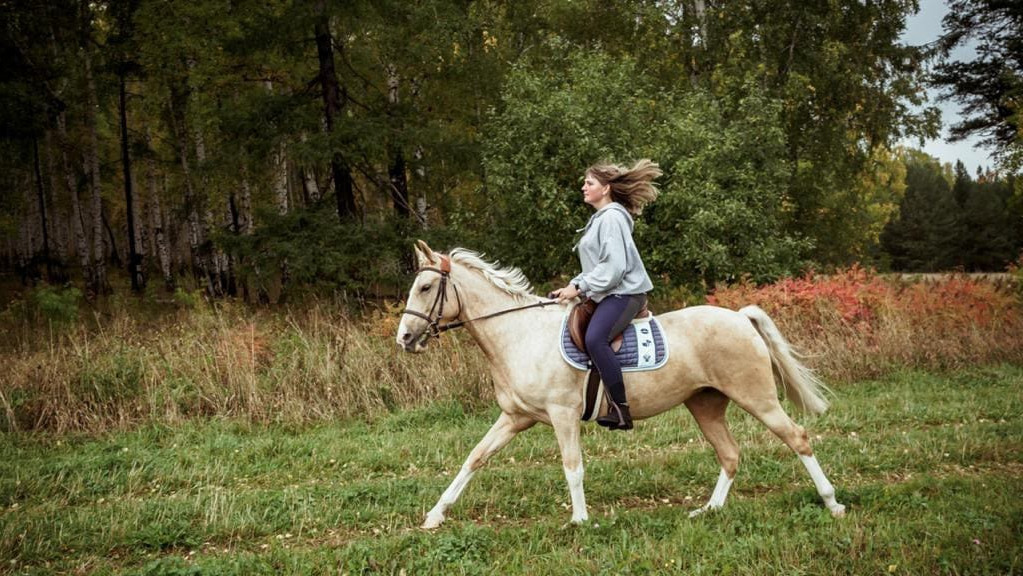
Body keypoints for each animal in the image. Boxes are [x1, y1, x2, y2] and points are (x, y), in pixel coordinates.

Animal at [394, 241, 842, 527]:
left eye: (427, 287)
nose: (404, 338)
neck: (519, 334)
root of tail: (739, 317)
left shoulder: (562, 415)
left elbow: (572, 466)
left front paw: (579, 520)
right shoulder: (515, 418)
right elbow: (474, 459)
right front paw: (435, 515)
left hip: (756, 397)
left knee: (797, 438)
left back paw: (832, 503)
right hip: (705, 404)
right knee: (730, 454)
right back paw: (709, 511)